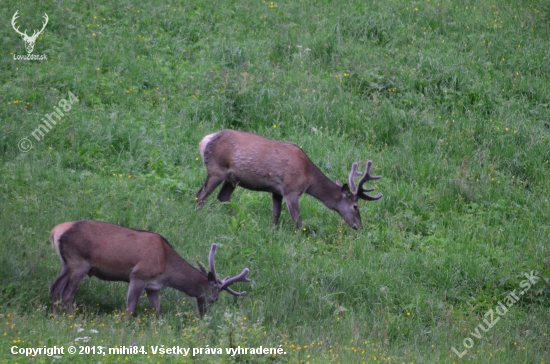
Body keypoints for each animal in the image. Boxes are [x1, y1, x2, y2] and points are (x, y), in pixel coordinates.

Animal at [48, 219, 251, 316]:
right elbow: (130, 308)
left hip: (65, 264)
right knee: (67, 295)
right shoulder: (138, 275)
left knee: (54, 289)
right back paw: (71, 319)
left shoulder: (153, 287)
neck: (166, 265)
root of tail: (55, 230)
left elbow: (157, 311)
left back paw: (55, 317)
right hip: (78, 263)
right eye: (214, 297)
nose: (203, 314)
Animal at [197, 129, 384, 229]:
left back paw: (235, 219)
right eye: (355, 206)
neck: (308, 177)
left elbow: (276, 214)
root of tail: (204, 141)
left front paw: (273, 231)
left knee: (222, 197)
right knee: (201, 195)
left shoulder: (277, 191)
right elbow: (298, 221)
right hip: (217, 169)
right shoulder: (291, 190)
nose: (359, 226)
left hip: (232, 178)